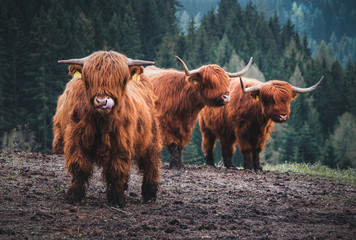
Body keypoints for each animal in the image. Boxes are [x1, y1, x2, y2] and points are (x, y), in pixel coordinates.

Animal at [52, 50, 161, 206]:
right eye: (89, 78)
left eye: (120, 79)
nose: (102, 101)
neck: (102, 121)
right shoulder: (76, 139)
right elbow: (79, 167)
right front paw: (74, 195)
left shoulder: (121, 143)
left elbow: (117, 169)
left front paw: (117, 199)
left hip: (151, 135)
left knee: (150, 162)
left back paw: (150, 193)